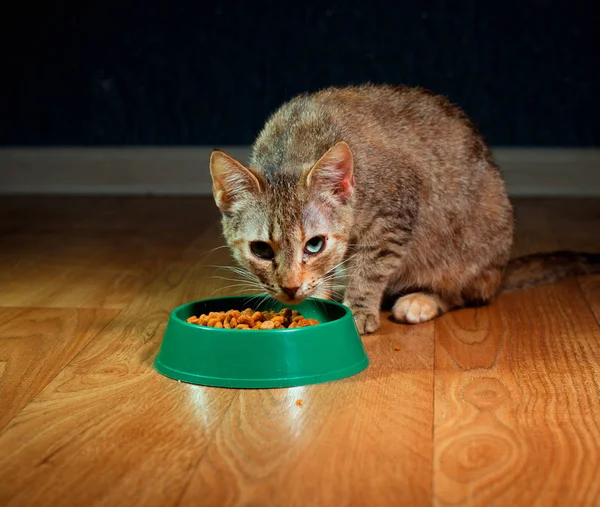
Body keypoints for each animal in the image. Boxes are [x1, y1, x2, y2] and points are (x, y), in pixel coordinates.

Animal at [207, 85, 600, 336]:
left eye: (314, 244)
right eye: (261, 249)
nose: (290, 288)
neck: (295, 142)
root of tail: (501, 271)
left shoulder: (393, 218)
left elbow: (369, 269)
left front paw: (357, 311)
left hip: (473, 246)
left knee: (464, 294)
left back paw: (421, 300)